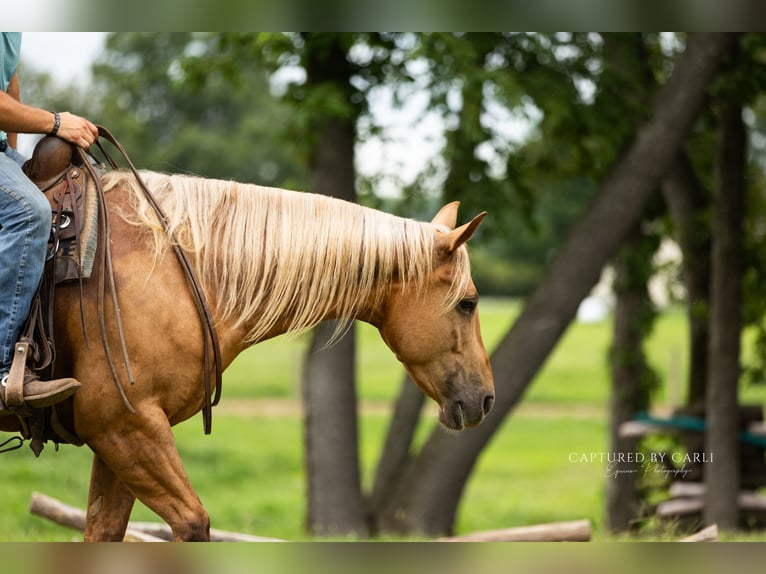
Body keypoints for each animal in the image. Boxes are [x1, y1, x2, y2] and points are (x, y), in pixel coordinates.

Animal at [0, 169, 494, 541]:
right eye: (468, 303)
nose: (487, 399)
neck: (171, 269)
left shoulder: (117, 439)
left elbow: (103, 532)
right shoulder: (127, 429)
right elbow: (193, 524)